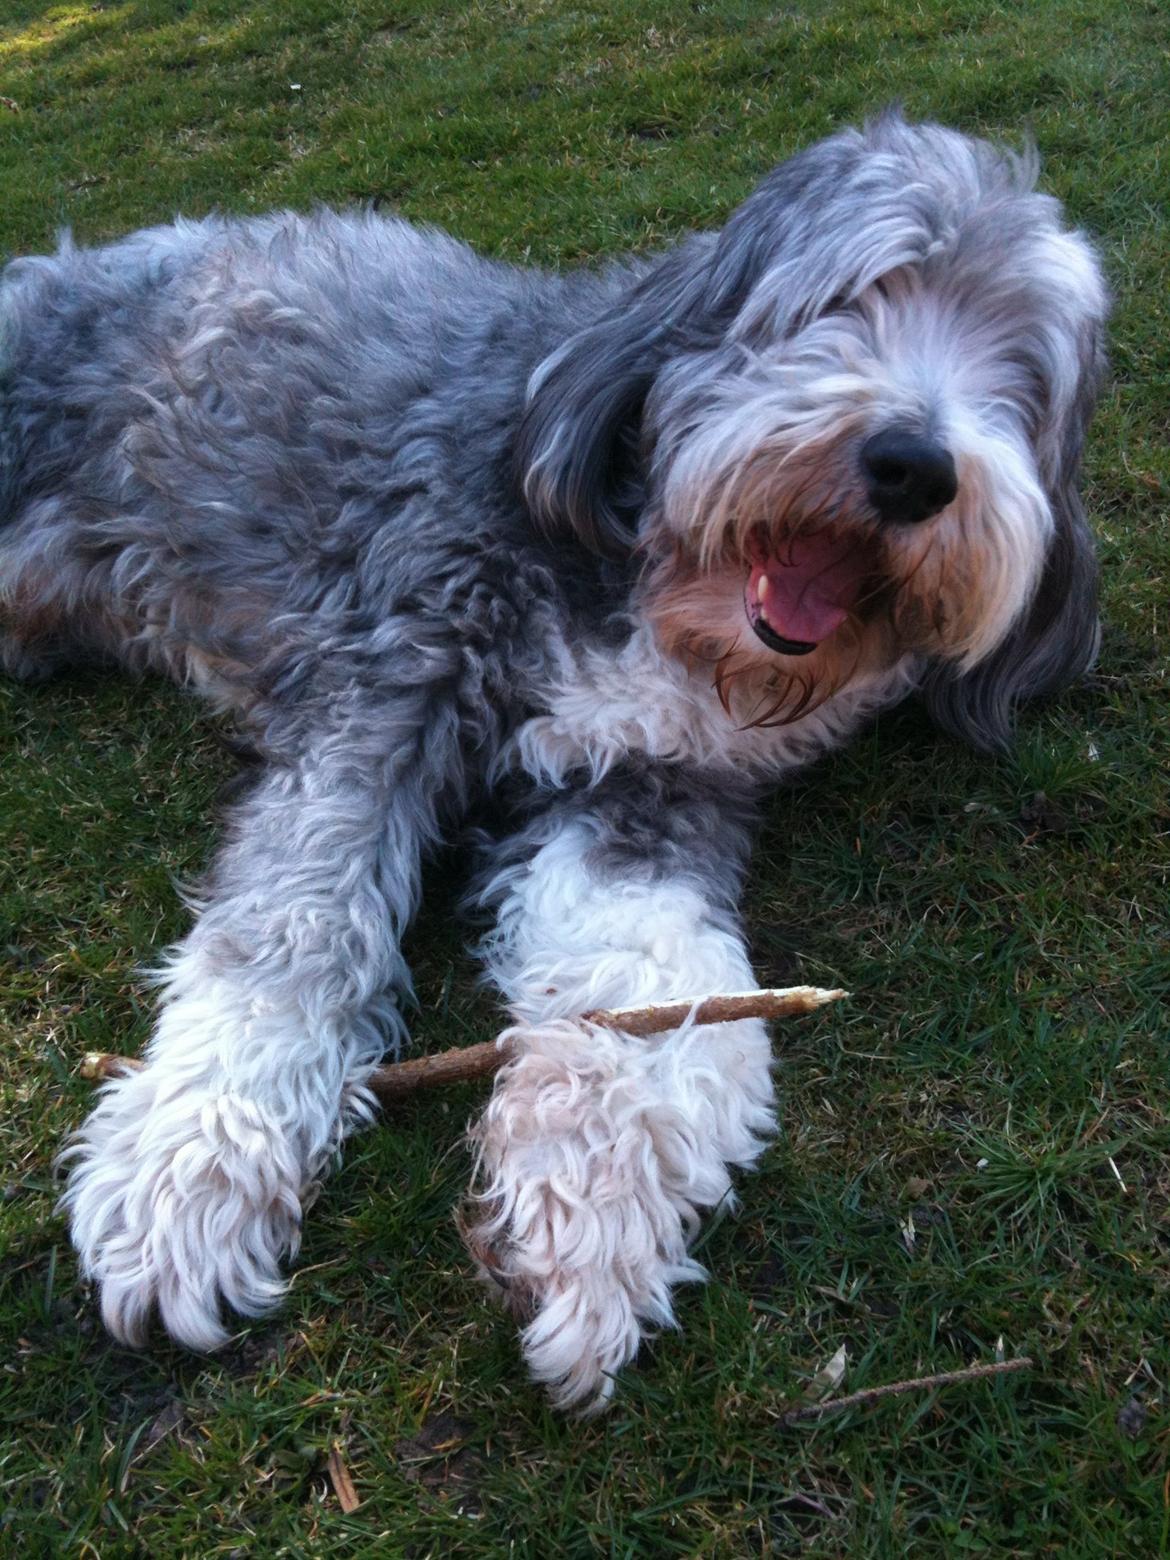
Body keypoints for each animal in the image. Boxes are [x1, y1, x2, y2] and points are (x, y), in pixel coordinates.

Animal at [0, 115, 1110, 1416]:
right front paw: (194, 1164)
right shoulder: (382, 700)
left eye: (1022, 377)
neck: (644, 576)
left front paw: (596, 1206)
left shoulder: (652, 779)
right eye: (853, 293)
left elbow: (650, 981)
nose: (915, 466)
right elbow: (293, 934)